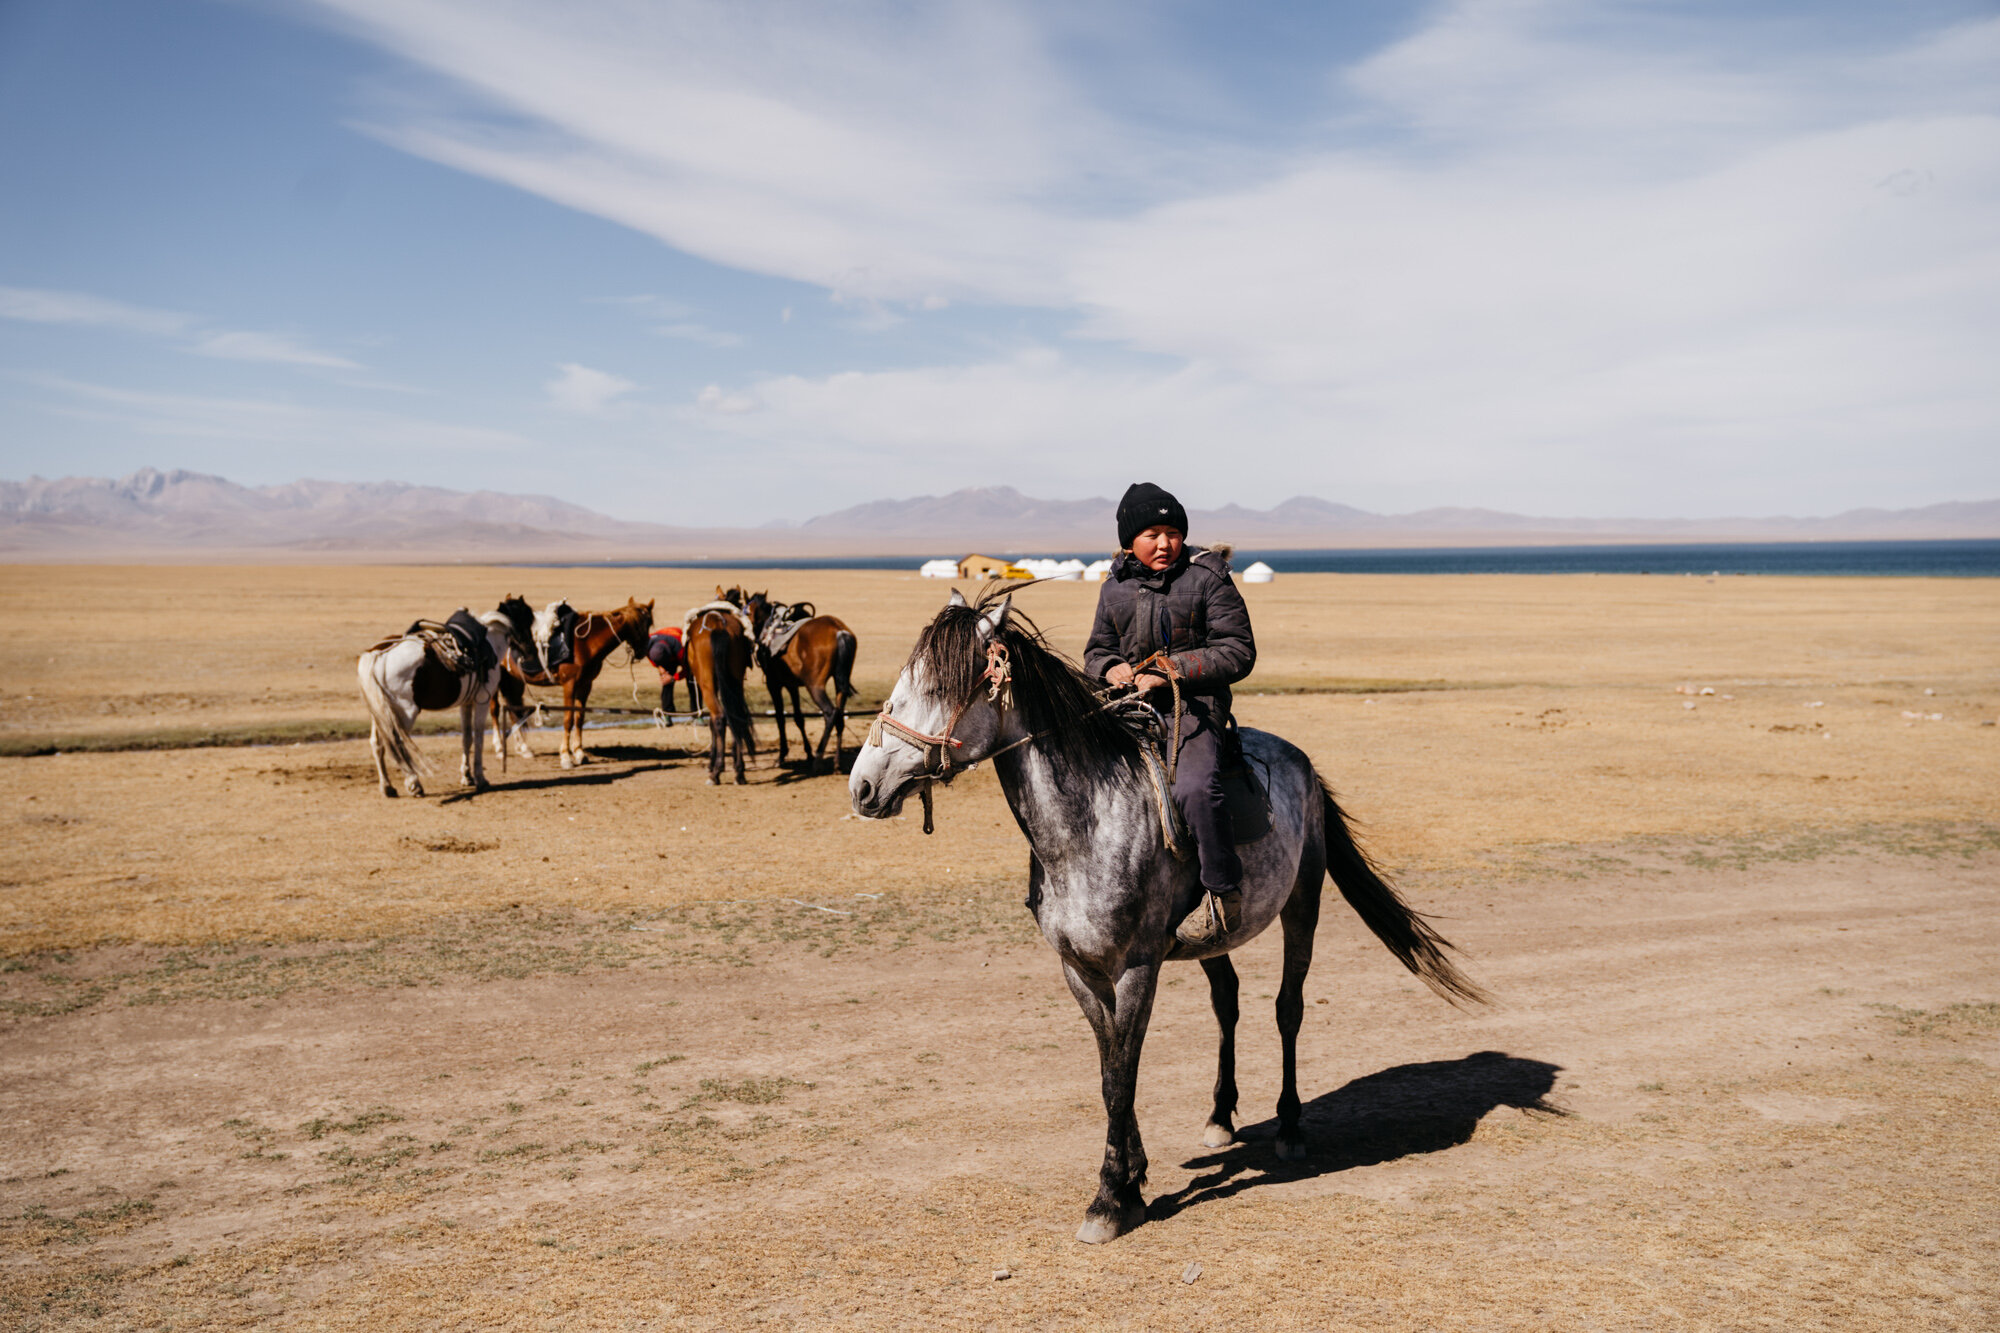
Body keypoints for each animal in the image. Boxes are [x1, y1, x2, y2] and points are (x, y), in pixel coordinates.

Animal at [358, 604, 520, 800]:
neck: (491, 643)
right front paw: (480, 779)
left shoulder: (467, 703)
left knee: (377, 744)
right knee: (397, 743)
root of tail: (379, 653)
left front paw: (467, 777)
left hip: (380, 713)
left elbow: (467, 738)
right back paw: (414, 784)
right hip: (405, 712)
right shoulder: (482, 700)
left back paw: (387, 787)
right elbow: (479, 738)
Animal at [684, 600, 752, 780]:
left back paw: (716, 773)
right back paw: (739, 771)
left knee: (719, 717)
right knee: (736, 716)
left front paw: (712, 763)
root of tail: (718, 625)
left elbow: (713, 723)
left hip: (707, 684)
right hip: (735, 681)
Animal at [744, 588, 852, 772]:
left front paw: (782, 756)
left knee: (830, 712)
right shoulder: (792, 685)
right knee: (839, 716)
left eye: (747, 611)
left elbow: (780, 718)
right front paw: (807, 752)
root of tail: (840, 632)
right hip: (840, 685)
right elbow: (799, 718)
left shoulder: (774, 684)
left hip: (814, 686)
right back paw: (836, 763)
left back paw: (818, 758)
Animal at [844, 588, 1488, 1240]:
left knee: (1288, 1009)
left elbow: (1122, 1072)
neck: (1090, 822)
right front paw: (1133, 1179)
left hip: (1302, 905)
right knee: (1227, 1000)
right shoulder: (1079, 970)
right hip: (1213, 939)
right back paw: (1220, 1116)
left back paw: (1288, 1126)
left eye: (940, 686)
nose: (863, 786)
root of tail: (1301, 760)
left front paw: (1109, 1198)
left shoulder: (1137, 967)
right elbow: (1109, 1068)